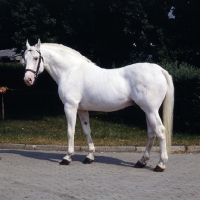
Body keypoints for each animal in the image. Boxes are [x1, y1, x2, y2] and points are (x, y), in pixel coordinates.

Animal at [23, 39, 173, 172]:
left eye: (36, 58)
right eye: (25, 58)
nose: (27, 79)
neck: (70, 71)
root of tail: (159, 70)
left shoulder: (70, 107)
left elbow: (70, 131)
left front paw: (67, 157)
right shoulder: (82, 110)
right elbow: (86, 131)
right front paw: (89, 157)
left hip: (151, 110)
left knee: (160, 131)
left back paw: (160, 164)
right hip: (147, 111)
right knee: (151, 133)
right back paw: (142, 161)